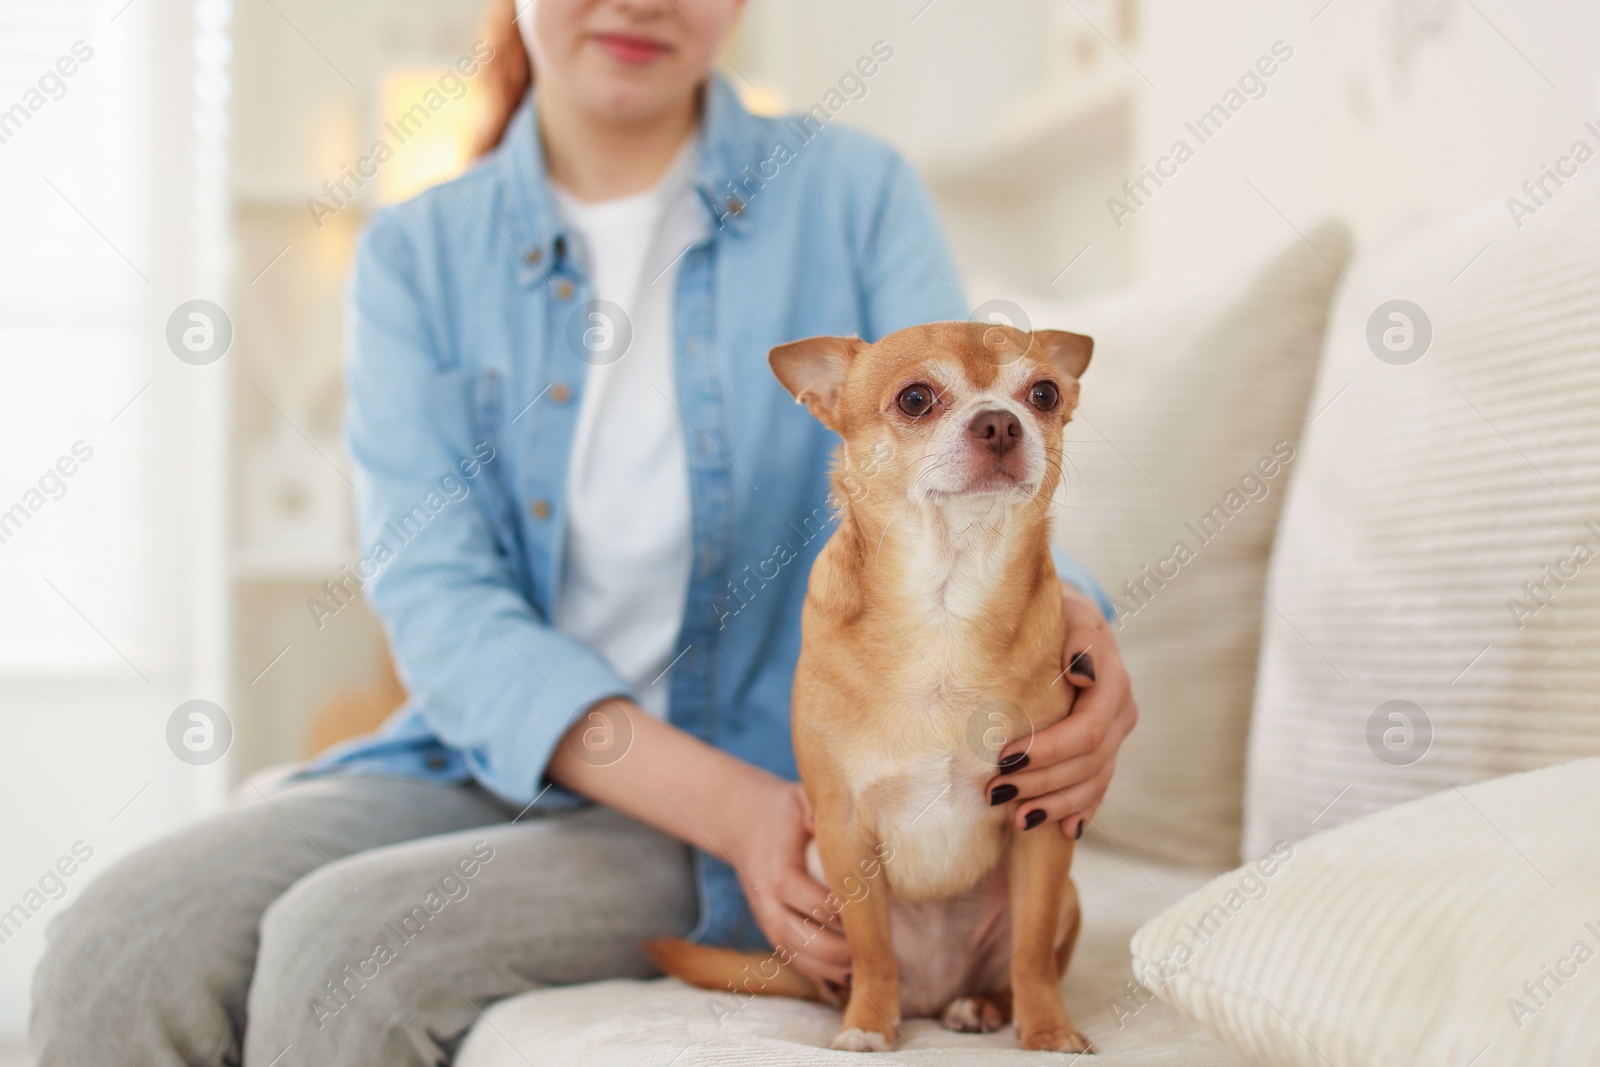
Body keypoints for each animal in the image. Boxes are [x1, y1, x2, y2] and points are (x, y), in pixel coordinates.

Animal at [656, 321, 1094, 1055]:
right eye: (915, 398)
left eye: (1043, 394)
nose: (1001, 422)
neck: (946, 603)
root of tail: (934, 994)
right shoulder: (844, 835)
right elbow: (873, 948)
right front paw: (867, 1024)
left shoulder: (1043, 825)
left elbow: (1032, 953)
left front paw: (1049, 1029)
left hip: (1065, 898)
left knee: (1011, 966)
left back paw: (982, 1005)